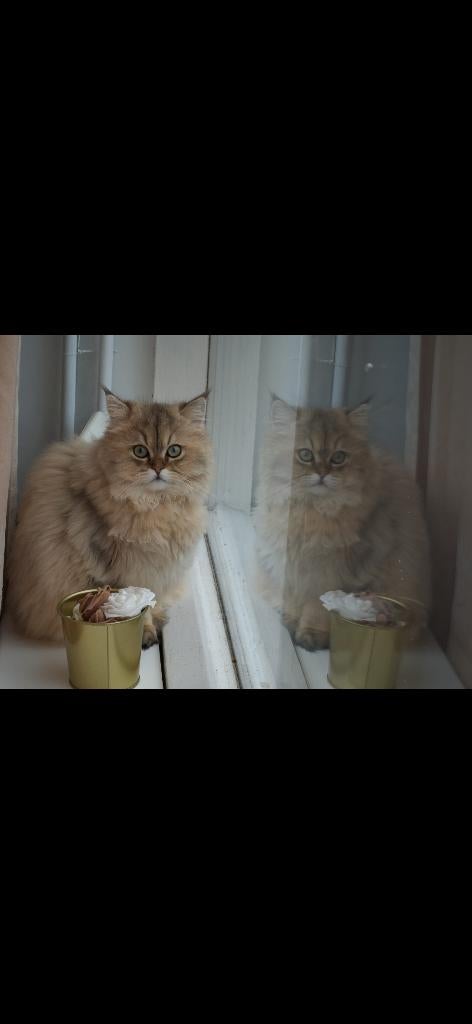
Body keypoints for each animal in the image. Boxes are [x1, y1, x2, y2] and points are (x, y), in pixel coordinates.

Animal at [7, 390, 212, 647]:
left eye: (174, 451)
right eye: (140, 451)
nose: (157, 469)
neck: (156, 506)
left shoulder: (157, 572)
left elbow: (152, 601)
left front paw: (154, 622)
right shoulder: (130, 570)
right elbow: (139, 606)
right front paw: (144, 635)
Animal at [254, 397, 431, 651]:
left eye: (338, 458)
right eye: (305, 454)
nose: (322, 474)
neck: (310, 513)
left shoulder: (327, 574)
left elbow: (317, 609)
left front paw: (311, 636)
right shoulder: (292, 568)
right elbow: (293, 602)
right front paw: (290, 622)